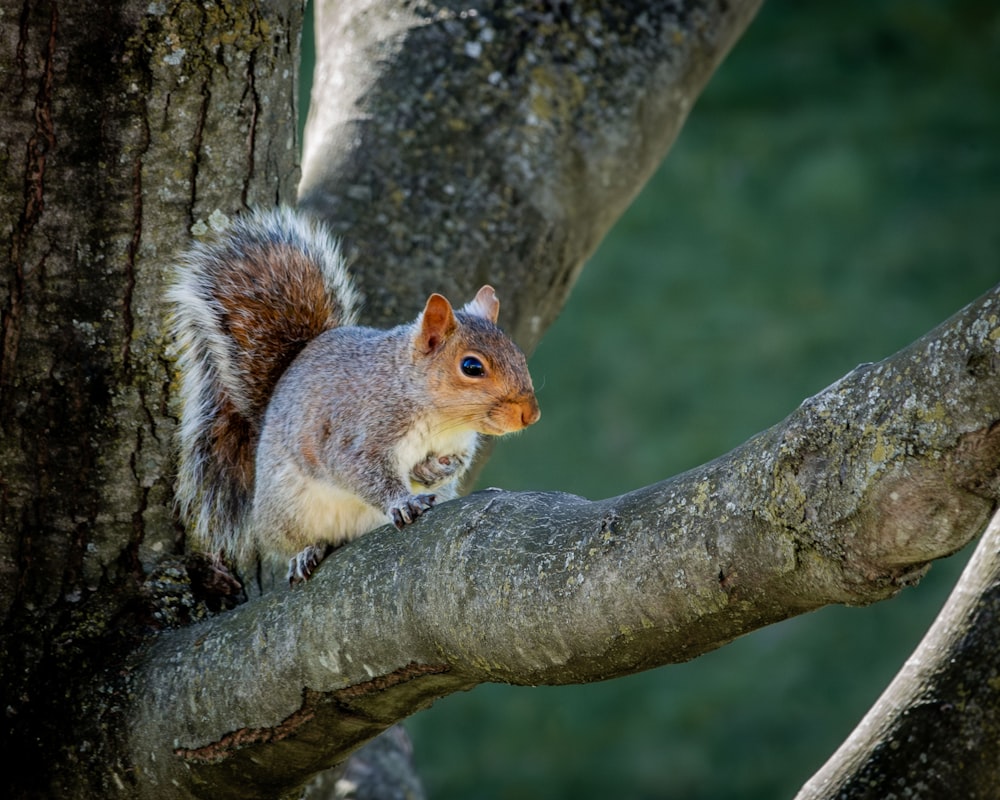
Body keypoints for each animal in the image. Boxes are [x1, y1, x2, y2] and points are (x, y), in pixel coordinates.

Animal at [170, 206, 540, 580]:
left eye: (519, 355)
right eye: (472, 367)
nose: (530, 414)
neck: (440, 418)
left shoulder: (460, 443)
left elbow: (455, 463)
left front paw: (432, 471)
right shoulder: (357, 433)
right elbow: (361, 470)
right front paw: (404, 501)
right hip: (287, 509)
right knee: (292, 541)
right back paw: (305, 552)